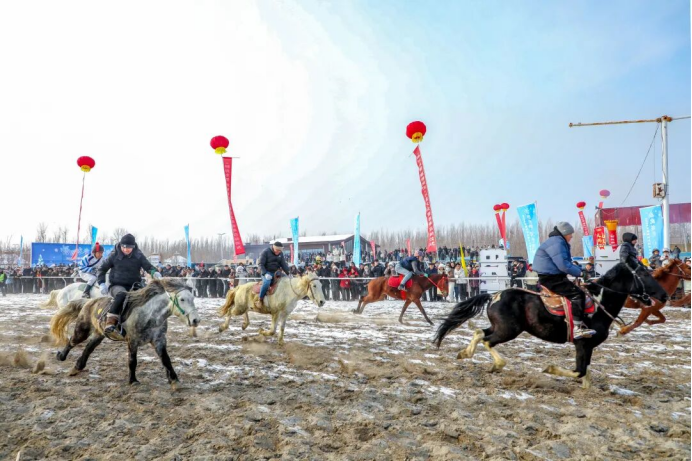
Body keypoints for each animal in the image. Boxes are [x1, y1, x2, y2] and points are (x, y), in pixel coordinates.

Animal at [50, 279, 200, 388]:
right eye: (182, 299)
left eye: (193, 298)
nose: (195, 320)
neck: (149, 315)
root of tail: (88, 301)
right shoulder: (132, 341)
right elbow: (132, 361)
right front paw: (133, 380)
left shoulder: (159, 340)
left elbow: (166, 360)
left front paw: (174, 379)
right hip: (83, 330)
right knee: (72, 341)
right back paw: (61, 356)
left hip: (99, 334)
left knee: (88, 348)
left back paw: (77, 367)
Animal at [433, 262, 668, 389]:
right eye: (644, 274)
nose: (665, 295)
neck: (599, 302)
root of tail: (494, 295)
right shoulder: (582, 344)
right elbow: (579, 371)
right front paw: (550, 368)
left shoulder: (588, 346)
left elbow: (586, 372)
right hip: (508, 330)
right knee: (488, 341)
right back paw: (497, 364)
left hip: (502, 327)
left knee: (479, 332)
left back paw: (464, 353)